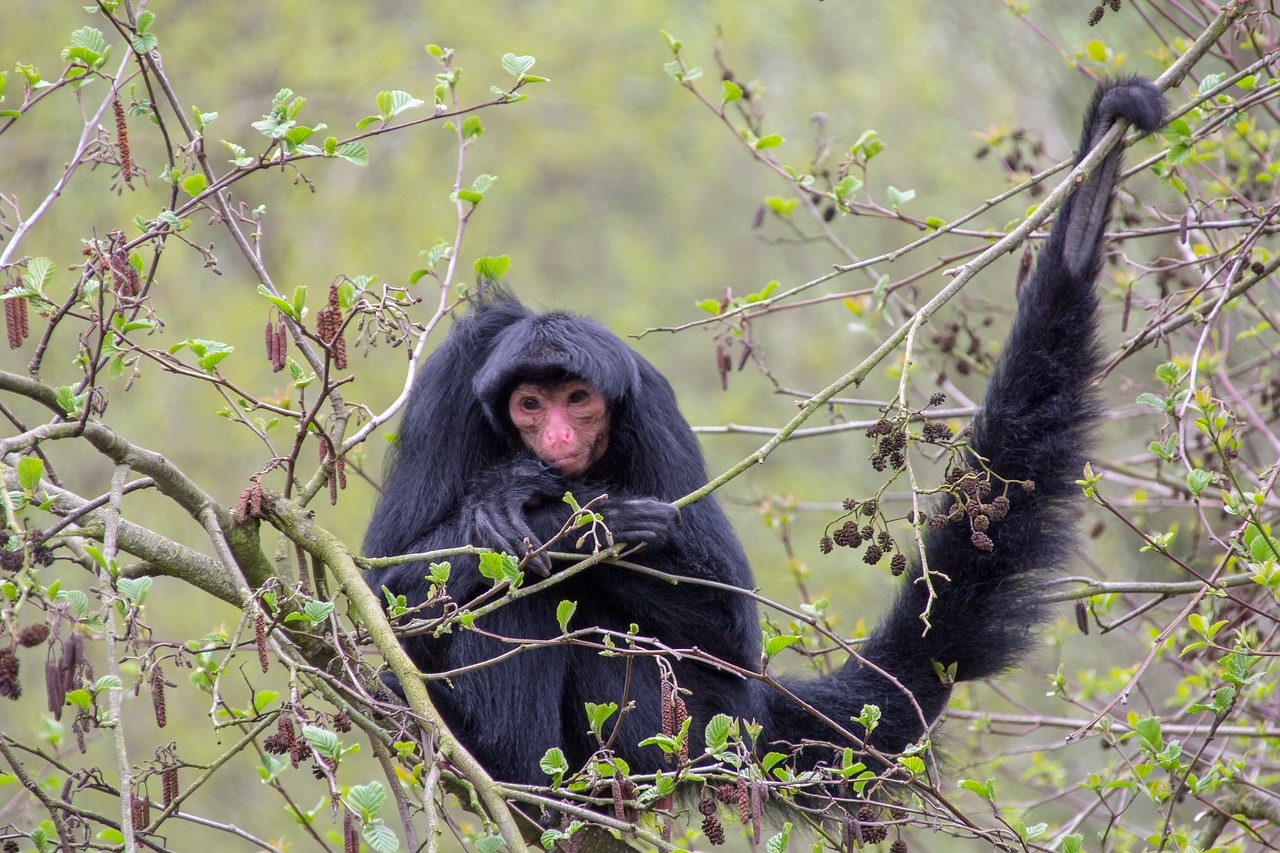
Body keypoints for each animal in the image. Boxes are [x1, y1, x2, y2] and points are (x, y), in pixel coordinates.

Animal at [366, 76, 1167, 778]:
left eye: (576, 399)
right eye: (531, 405)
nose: (557, 439)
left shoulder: (651, 408)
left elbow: (726, 636)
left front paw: (581, 518)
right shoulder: (449, 386)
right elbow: (388, 587)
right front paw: (534, 505)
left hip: (686, 728)